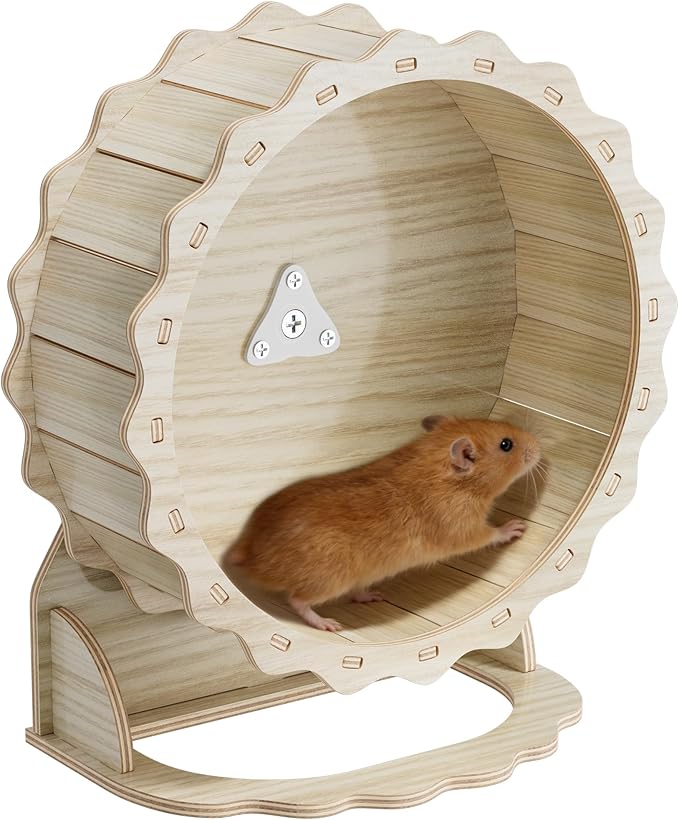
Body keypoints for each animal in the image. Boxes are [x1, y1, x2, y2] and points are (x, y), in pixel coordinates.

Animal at [226, 415, 540, 632]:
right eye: (506, 445)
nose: (539, 446)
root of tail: (250, 555)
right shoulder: (464, 528)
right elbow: (490, 534)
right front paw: (515, 527)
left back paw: (373, 596)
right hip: (330, 579)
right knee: (298, 601)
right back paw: (329, 624)